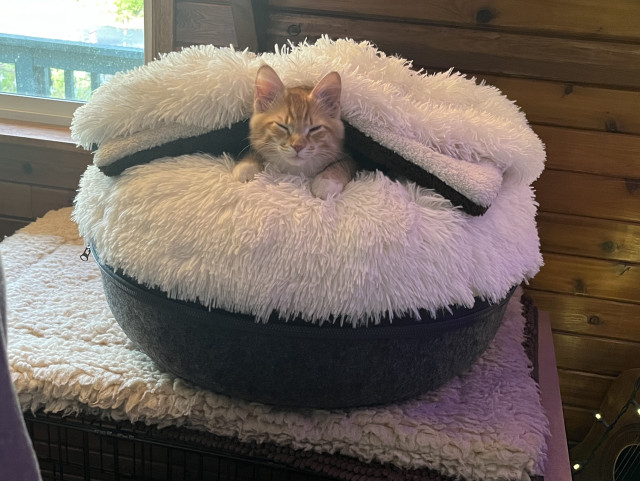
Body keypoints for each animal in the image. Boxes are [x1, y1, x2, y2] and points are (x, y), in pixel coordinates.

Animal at [234, 64, 358, 199]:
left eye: (314, 128)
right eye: (282, 126)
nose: (298, 146)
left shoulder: (348, 155)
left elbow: (342, 164)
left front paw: (327, 182)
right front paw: (248, 165)